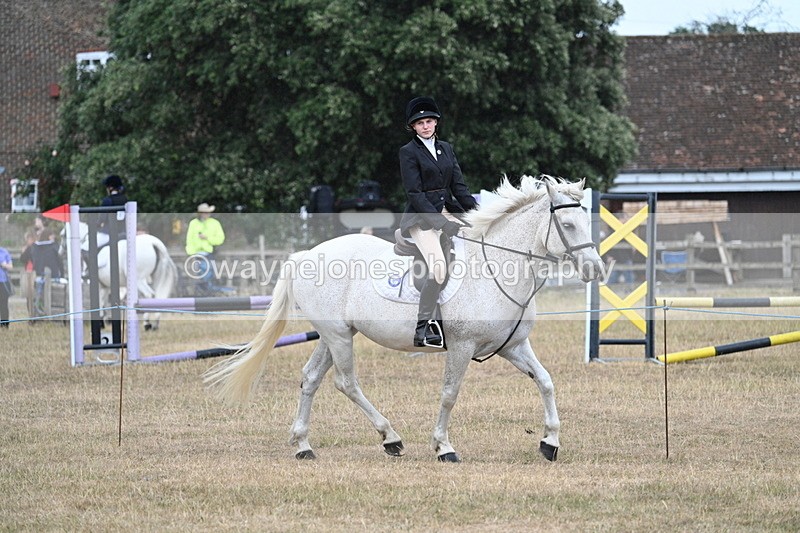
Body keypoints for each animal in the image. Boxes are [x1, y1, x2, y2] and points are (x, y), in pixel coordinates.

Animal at [204, 175, 603, 462]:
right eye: (567, 225)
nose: (595, 270)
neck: (496, 267)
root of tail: (304, 254)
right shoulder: (462, 346)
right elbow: (449, 394)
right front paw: (444, 447)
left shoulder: (513, 346)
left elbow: (546, 382)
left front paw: (550, 442)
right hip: (338, 336)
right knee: (346, 383)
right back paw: (390, 438)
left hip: (335, 335)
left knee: (310, 378)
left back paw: (304, 445)